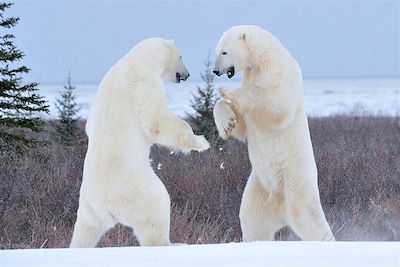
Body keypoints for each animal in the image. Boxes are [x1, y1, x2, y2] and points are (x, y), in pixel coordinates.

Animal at [70, 38, 211, 249]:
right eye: (181, 56)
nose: (187, 74)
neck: (139, 60)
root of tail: (106, 207)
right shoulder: (143, 84)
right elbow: (157, 119)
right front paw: (201, 142)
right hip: (138, 190)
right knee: (157, 207)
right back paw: (173, 243)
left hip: (88, 206)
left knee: (85, 230)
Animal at [212, 25, 334, 243]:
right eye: (217, 50)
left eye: (224, 52)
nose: (215, 71)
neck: (263, 56)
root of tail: (280, 208)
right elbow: (242, 126)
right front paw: (227, 122)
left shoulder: (278, 69)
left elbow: (277, 102)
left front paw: (227, 91)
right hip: (260, 187)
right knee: (252, 220)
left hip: (295, 184)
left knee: (308, 218)